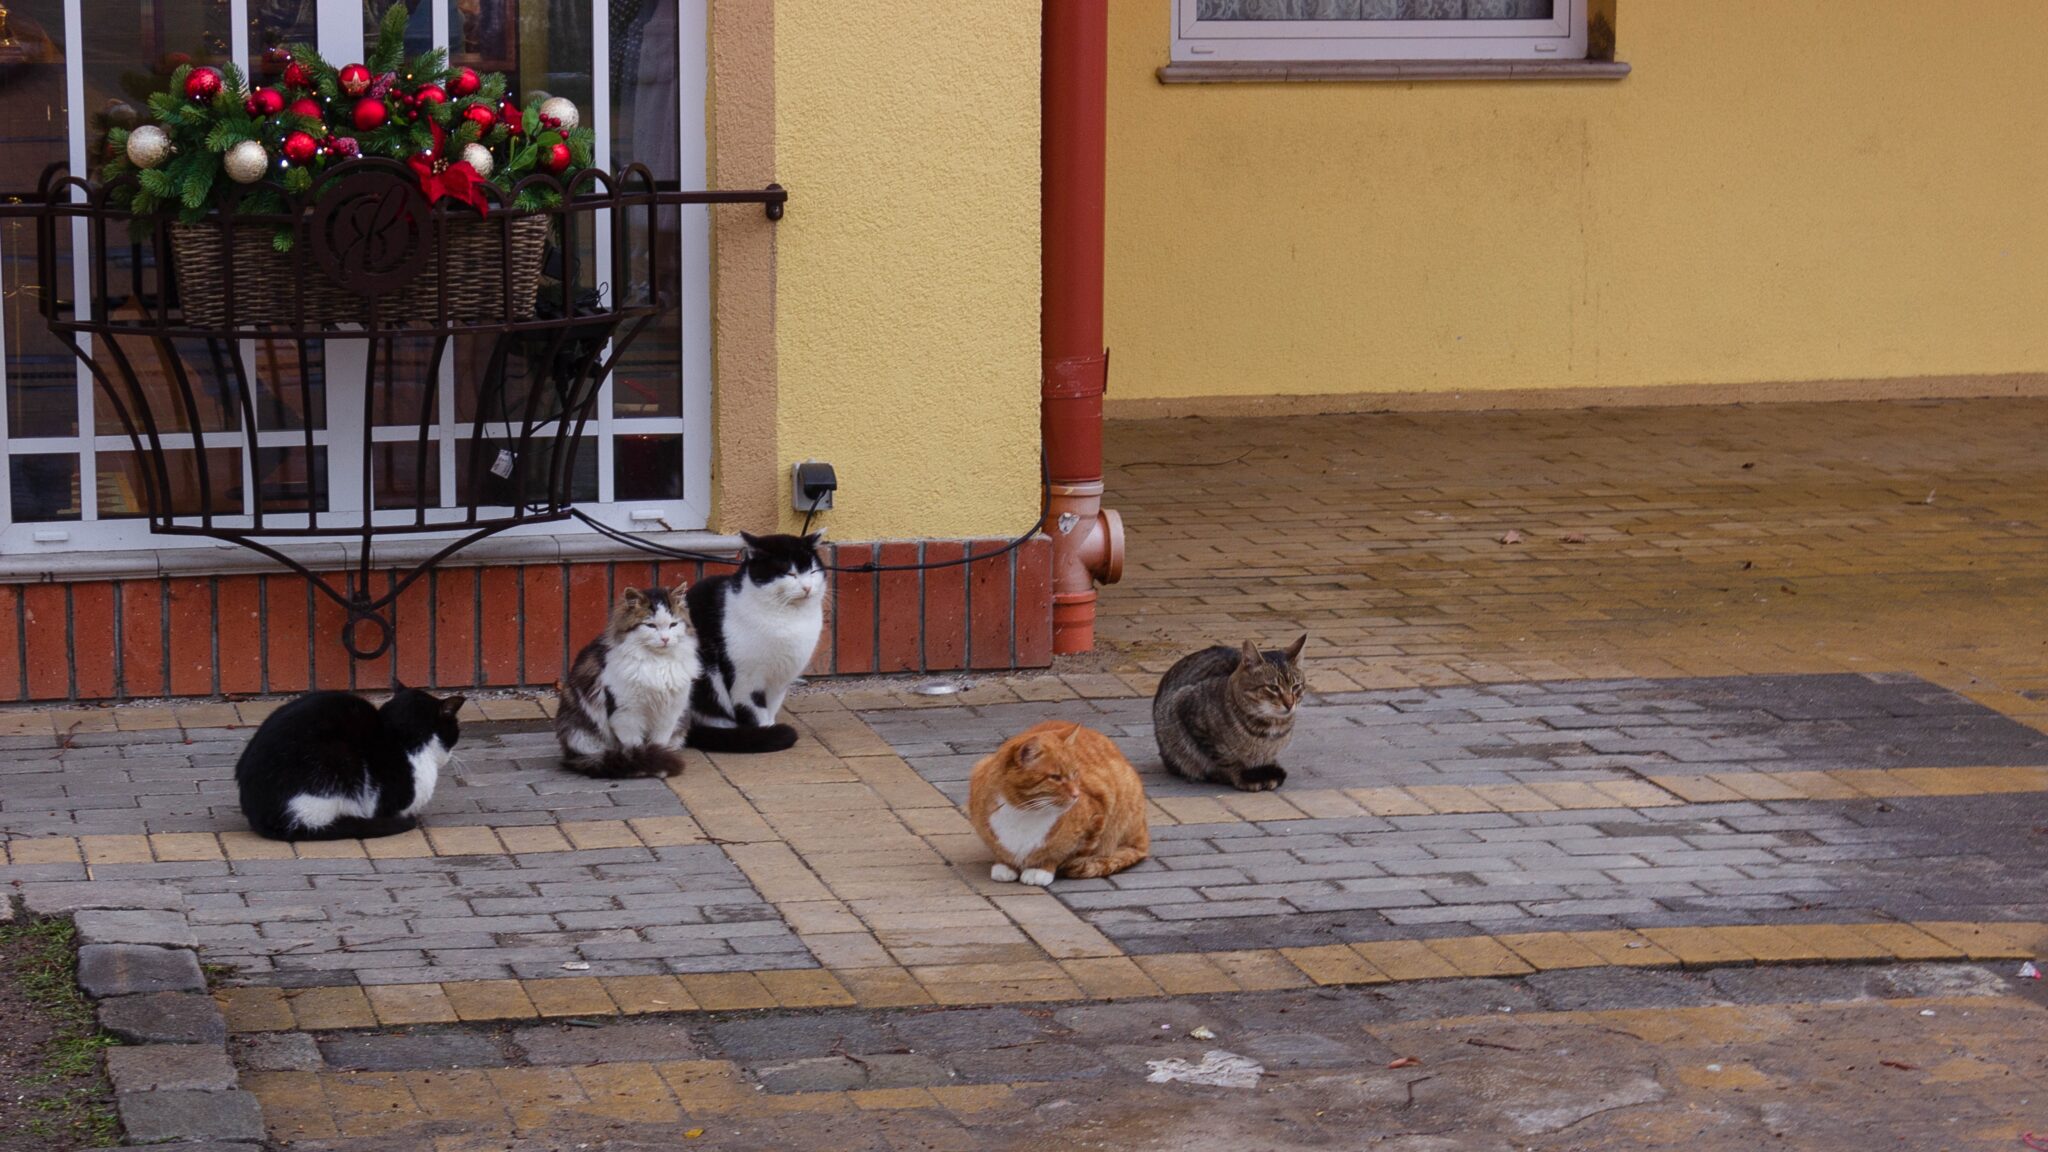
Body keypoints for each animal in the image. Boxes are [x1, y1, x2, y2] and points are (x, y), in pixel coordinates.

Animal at [962, 713, 1146, 881]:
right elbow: (1001, 851)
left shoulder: (1098, 815)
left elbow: (1063, 853)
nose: (1076, 795)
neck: (1023, 810)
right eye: (1055, 777)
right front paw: (1005, 865)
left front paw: (1042, 868)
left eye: (1075, 773)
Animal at [1155, 635, 1310, 787]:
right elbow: (1226, 760)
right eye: (1273, 688)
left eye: (1296, 686)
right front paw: (1242, 775)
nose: (1290, 704)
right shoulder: (1186, 709)